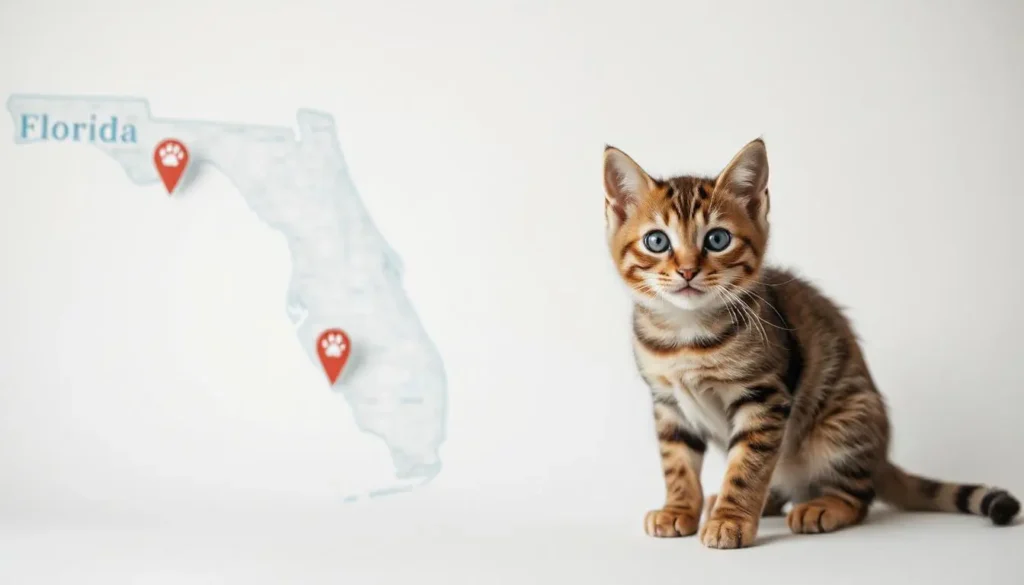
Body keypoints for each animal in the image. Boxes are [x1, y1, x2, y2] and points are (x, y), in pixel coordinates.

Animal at [602, 137, 1019, 549]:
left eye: (717, 239)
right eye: (657, 241)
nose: (688, 271)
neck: (685, 334)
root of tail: (880, 457)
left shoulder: (764, 396)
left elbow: (747, 466)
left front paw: (731, 521)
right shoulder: (668, 403)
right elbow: (677, 463)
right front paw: (678, 509)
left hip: (844, 423)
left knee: (858, 496)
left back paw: (822, 507)